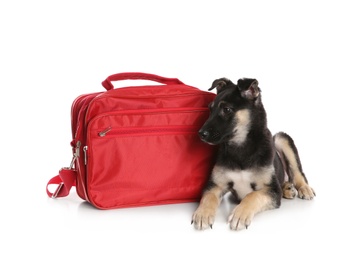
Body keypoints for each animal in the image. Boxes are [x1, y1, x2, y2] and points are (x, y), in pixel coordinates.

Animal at [191, 76, 316, 230]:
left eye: (227, 109)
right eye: (210, 109)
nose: (201, 134)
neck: (240, 146)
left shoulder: (272, 191)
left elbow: (252, 196)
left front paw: (240, 214)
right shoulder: (215, 185)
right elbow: (208, 197)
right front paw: (202, 213)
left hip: (281, 138)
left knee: (297, 172)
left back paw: (304, 188)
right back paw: (287, 188)